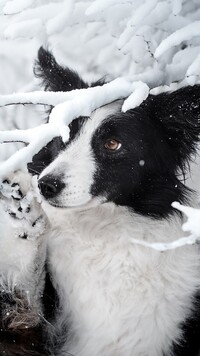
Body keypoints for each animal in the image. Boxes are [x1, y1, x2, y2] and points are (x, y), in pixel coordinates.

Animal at [1, 46, 200, 354]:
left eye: (113, 144)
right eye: (63, 137)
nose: (46, 185)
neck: (102, 232)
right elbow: (22, 307)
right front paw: (24, 218)